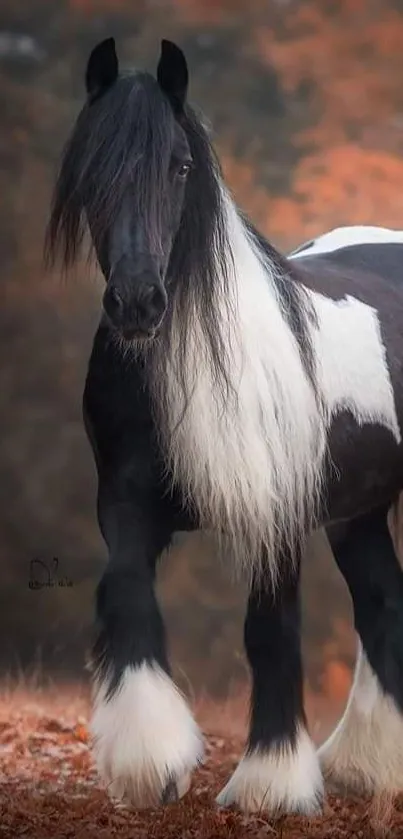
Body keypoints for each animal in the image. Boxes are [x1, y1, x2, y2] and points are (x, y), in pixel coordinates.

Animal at [45, 37, 403, 812]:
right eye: (90, 166)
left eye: (179, 166)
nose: (138, 303)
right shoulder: (125, 506)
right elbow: (126, 597)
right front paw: (150, 763)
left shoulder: (272, 516)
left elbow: (268, 629)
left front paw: (269, 784)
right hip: (358, 512)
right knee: (381, 604)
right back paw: (372, 767)